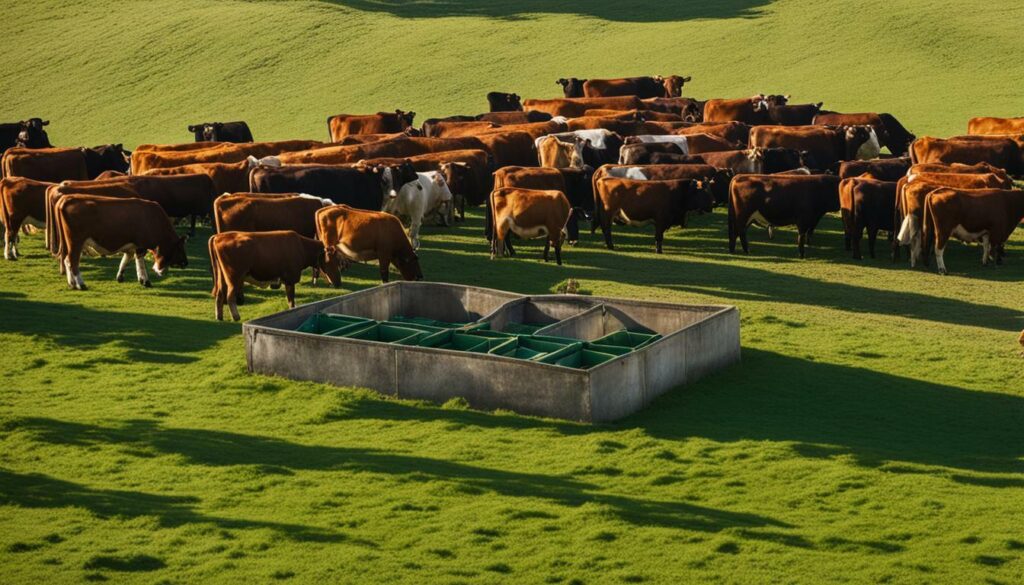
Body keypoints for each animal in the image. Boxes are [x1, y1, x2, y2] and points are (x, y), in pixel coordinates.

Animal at [53, 194, 188, 290]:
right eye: (180, 248)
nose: (186, 263)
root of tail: (68, 198)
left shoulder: (132, 245)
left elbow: (126, 259)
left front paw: (121, 277)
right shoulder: (141, 245)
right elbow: (140, 264)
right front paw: (145, 281)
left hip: (67, 243)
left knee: (66, 260)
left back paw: (72, 284)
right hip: (76, 242)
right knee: (72, 262)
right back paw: (81, 284)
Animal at [208, 230, 339, 321]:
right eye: (333, 261)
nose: (338, 282)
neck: (302, 247)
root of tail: (219, 236)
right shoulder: (290, 279)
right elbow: (291, 300)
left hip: (222, 277)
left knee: (220, 295)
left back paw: (219, 316)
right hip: (234, 277)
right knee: (230, 296)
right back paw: (236, 316)